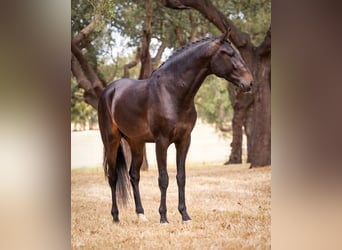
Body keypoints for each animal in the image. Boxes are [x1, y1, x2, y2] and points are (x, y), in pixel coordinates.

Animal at [97, 30, 252, 224]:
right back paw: (116, 217)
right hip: (111, 141)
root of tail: (109, 91)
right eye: (229, 54)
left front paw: (185, 215)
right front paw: (163, 217)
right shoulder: (161, 142)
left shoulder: (184, 140)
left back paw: (141, 214)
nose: (249, 83)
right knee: (113, 177)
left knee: (134, 176)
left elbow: (181, 177)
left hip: (136, 143)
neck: (171, 92)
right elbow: (163, 179)